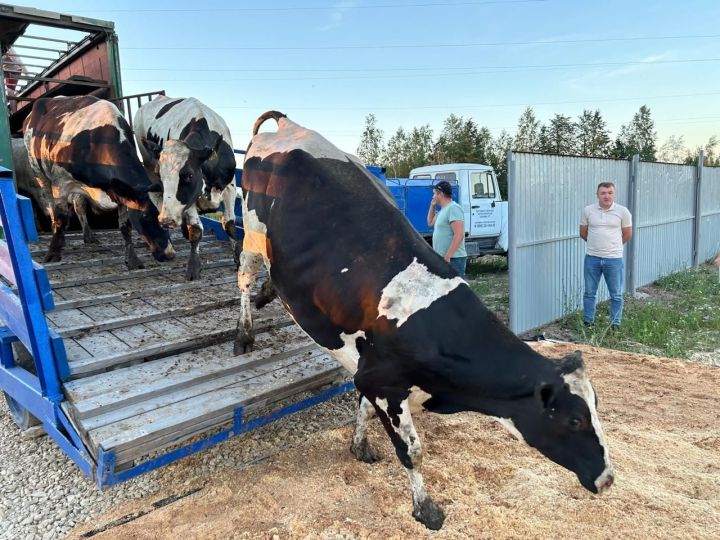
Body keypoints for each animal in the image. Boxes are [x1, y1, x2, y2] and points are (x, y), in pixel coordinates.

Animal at [23, 96, 175, 268]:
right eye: (146, 216)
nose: (170, 254)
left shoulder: (121, 190)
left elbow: (125, 225)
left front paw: (132, 259)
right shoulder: (60, 182)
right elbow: (61, 217)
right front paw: (53, 253)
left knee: (79, 206)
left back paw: (88, 235)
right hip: (38, 171)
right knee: (51, 206)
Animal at [132, 96, 239, 280]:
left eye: (188, 175)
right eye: (161, 177)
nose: (165, 220)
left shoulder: (230, 187)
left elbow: (230, 225)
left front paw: (238, 261)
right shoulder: (189, 199)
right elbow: (196, 230)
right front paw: (193, 268)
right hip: (148, 163)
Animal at [235, 110, 612, 532]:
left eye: (596, 406)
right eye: (575, 420)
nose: (608, 479)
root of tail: (288, 126)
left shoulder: (368, 371)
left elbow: (364, 409)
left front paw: (359, 446)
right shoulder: (382, 381)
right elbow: (411, 451)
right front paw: (426, 508)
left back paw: (268, 295)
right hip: (252, 232)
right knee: (244, 277)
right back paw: (243, 333)